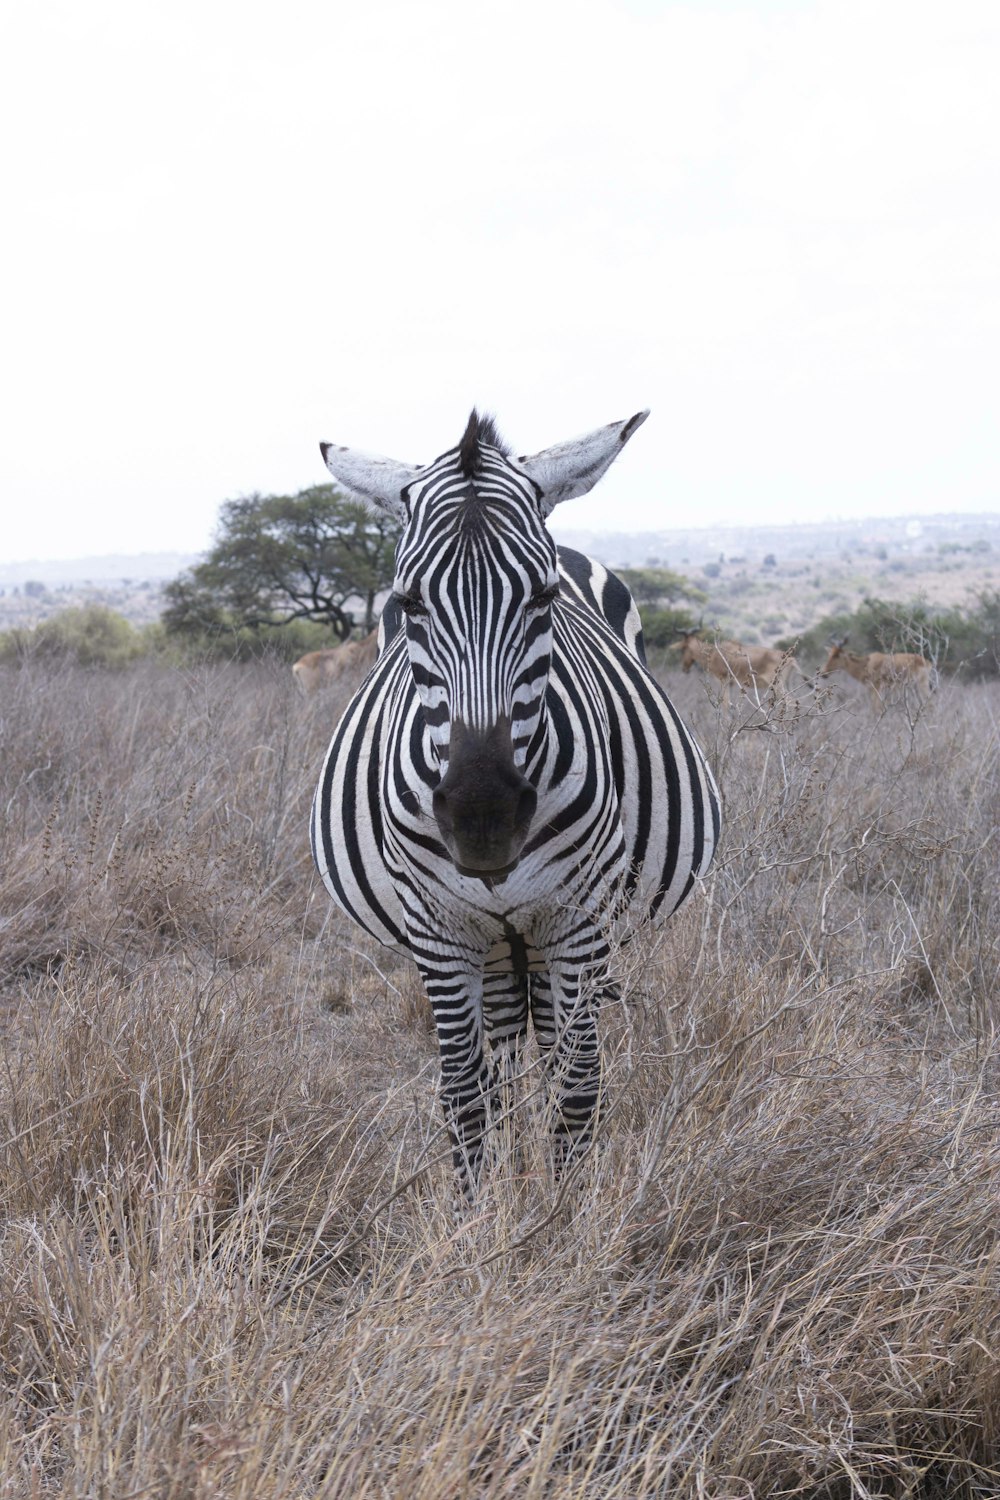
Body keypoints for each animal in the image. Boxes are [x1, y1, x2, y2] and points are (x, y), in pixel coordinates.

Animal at [313, 408, 719, 1194]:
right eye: (408, 604)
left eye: (543, 598)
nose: (483, 820)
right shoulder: (439, 928)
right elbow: (465, 1092)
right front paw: (483, 1214)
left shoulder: (578, 917)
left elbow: (578, 1085)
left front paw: (562, 1215)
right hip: (497, 940)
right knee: (502, 1056)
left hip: (564, 931)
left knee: (550, 1047)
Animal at [671, 633, 803, 702]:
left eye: (683, 648)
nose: (684, 668)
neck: (714, 653)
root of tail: (790, 658)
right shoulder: (731, 684)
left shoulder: (723, 681)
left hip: (777, 685)